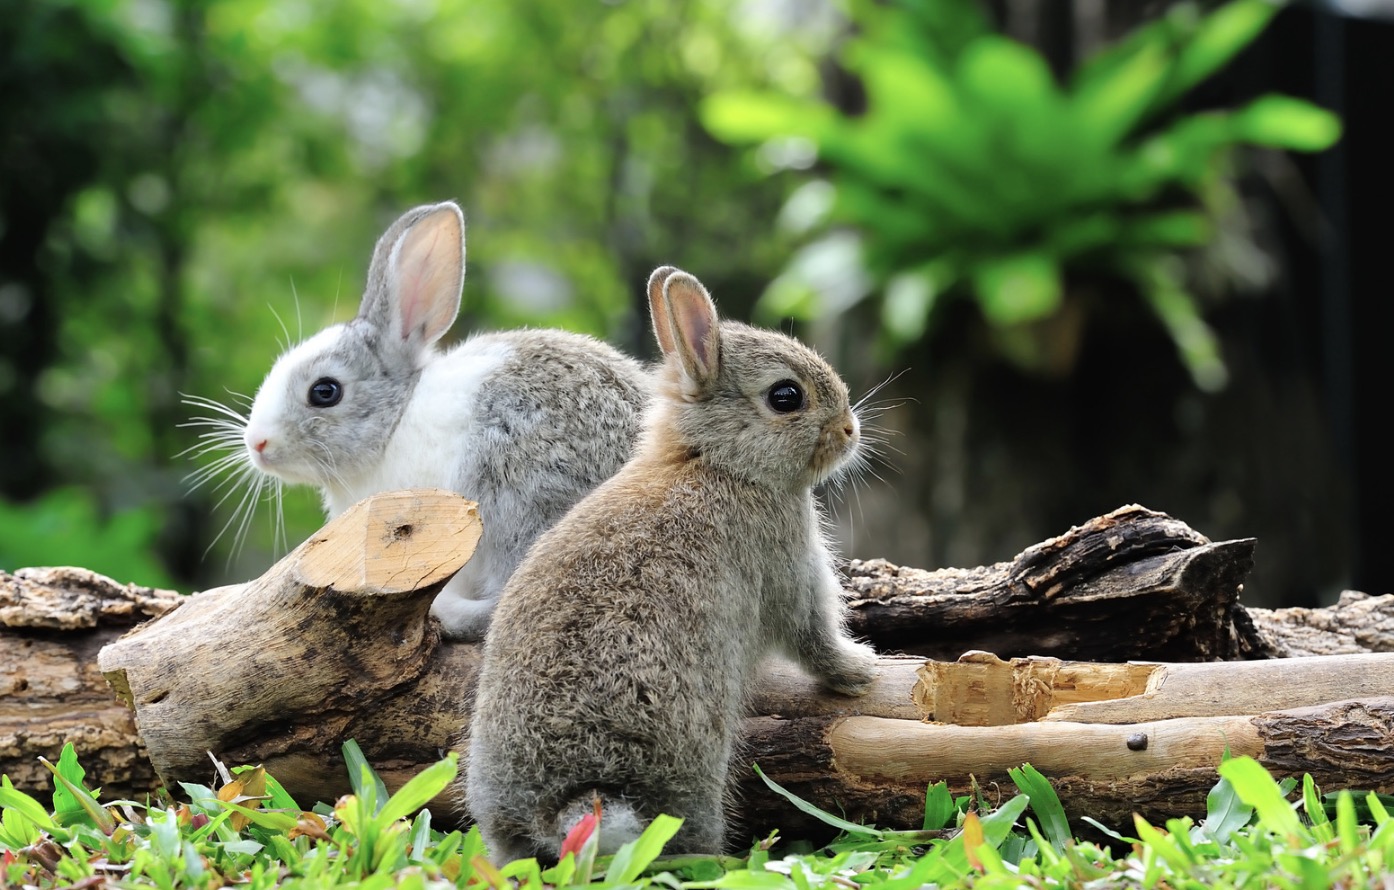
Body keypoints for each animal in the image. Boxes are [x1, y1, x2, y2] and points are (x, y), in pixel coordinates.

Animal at [463, 265, 880, 864]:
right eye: (786, 396)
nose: (850, 430)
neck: (716, 462)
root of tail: (564, 803)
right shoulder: (789, 567)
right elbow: (814, 638)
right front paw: (861, 670)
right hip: (692, 769)